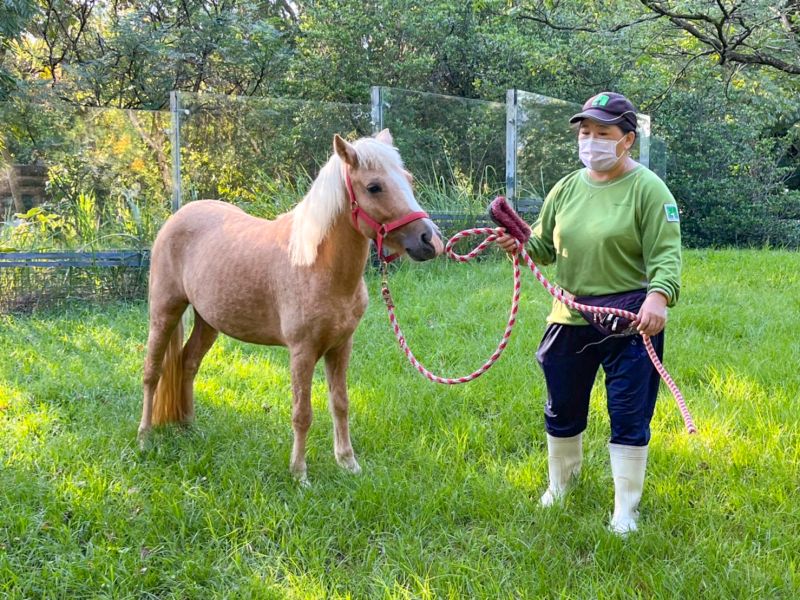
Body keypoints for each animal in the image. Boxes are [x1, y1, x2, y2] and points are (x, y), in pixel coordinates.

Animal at [136, 127, 444, 482]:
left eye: (408, 179)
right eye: (374, 187)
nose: (430, 240)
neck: (317, 266)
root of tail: (177, 217)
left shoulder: (341, 346)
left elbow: (340, 403)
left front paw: (348, 462)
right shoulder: (302, 352)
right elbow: (302, 412)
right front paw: (299, 473)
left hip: (207, 321)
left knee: (188, 363)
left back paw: (188, 427)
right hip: (165, 312)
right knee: (152, 372)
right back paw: (144, 437)